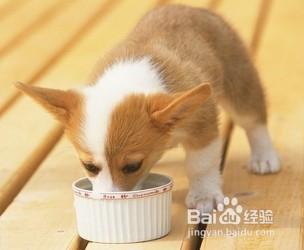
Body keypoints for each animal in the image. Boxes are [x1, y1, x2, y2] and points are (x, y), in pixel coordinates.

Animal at [15, 4, 280, 212]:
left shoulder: (202, 127)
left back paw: (264, 157)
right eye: (89, 166)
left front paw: (204, 195)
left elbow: (200, 165)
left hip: (239, 83)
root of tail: (189, 8)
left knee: (253, 120)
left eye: (133, 166)